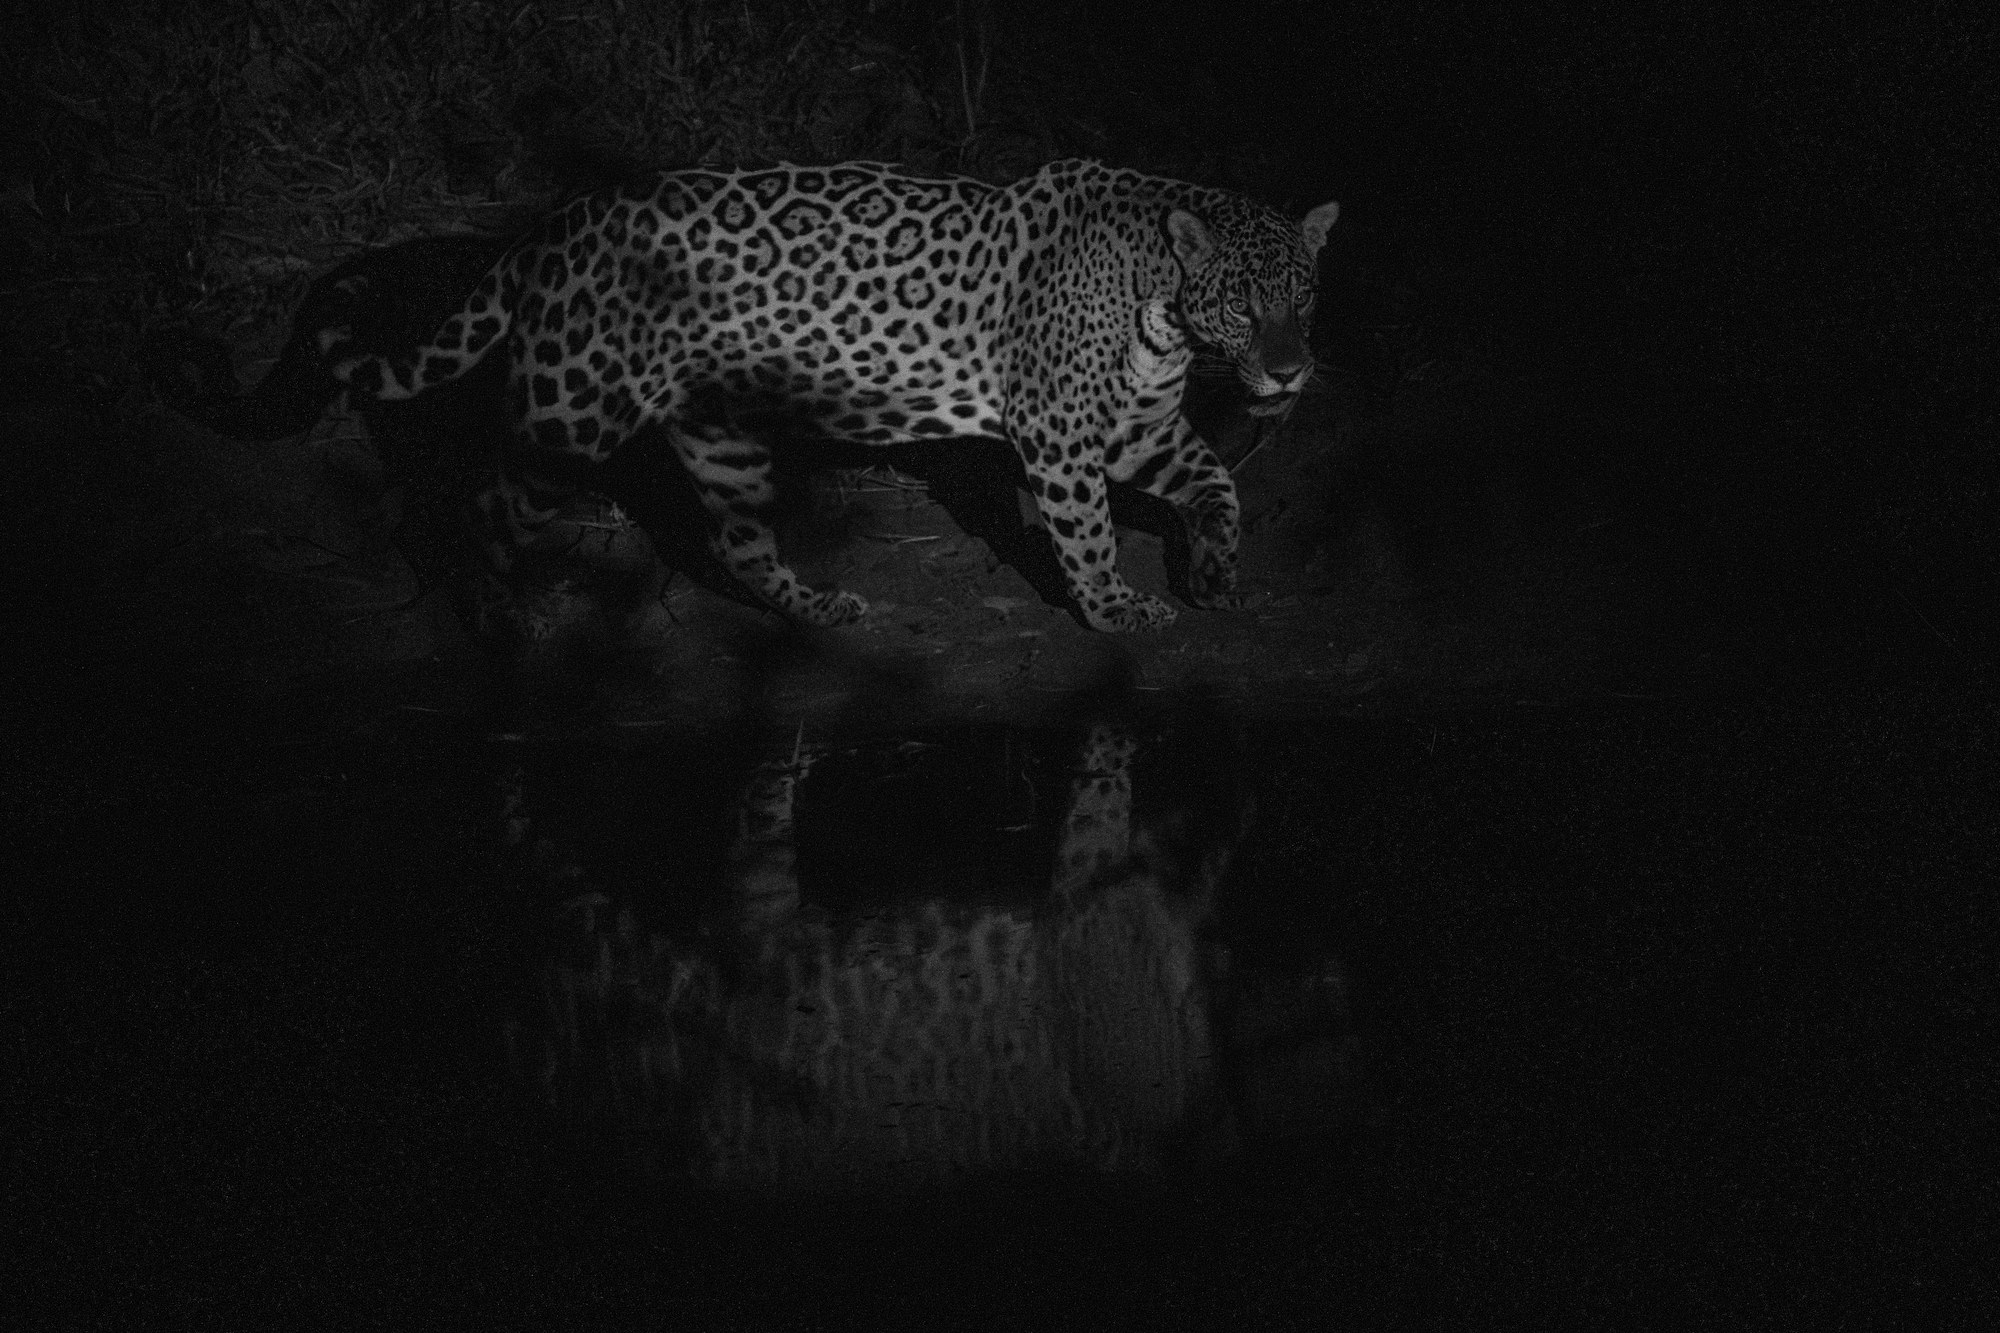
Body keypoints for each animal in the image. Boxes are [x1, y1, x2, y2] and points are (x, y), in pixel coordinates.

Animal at [327, 159, 1339, 632]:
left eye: (1302, 296)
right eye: (1244, 304)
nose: (1290, 371)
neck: (1163, 304)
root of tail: (550, 228)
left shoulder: (1138, 429)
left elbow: (1219, 482)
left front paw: (1214, 571)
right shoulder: (1058, 429)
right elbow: (1087, 529)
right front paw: (1114, 606)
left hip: (718, 430)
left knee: (736, 541)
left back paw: (816, 607)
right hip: (571, 411)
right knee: (483, 502)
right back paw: (500, 616)